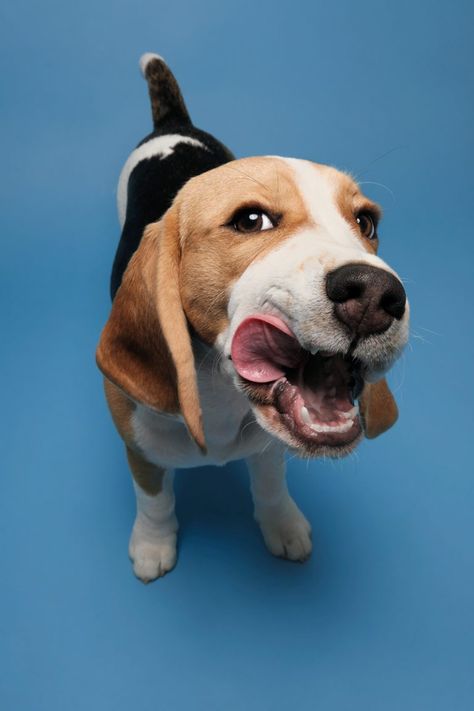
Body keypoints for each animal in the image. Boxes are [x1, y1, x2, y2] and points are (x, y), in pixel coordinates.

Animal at [96, 54, 408, 584]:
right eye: (250, 220)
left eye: (366, 223)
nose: (374, 294)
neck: (223, 394)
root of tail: (173, 124)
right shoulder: (140, 448)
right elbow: (155, 500)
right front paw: (153, 544)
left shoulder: (269, 449)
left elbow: (270, 485)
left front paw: (282, 525)